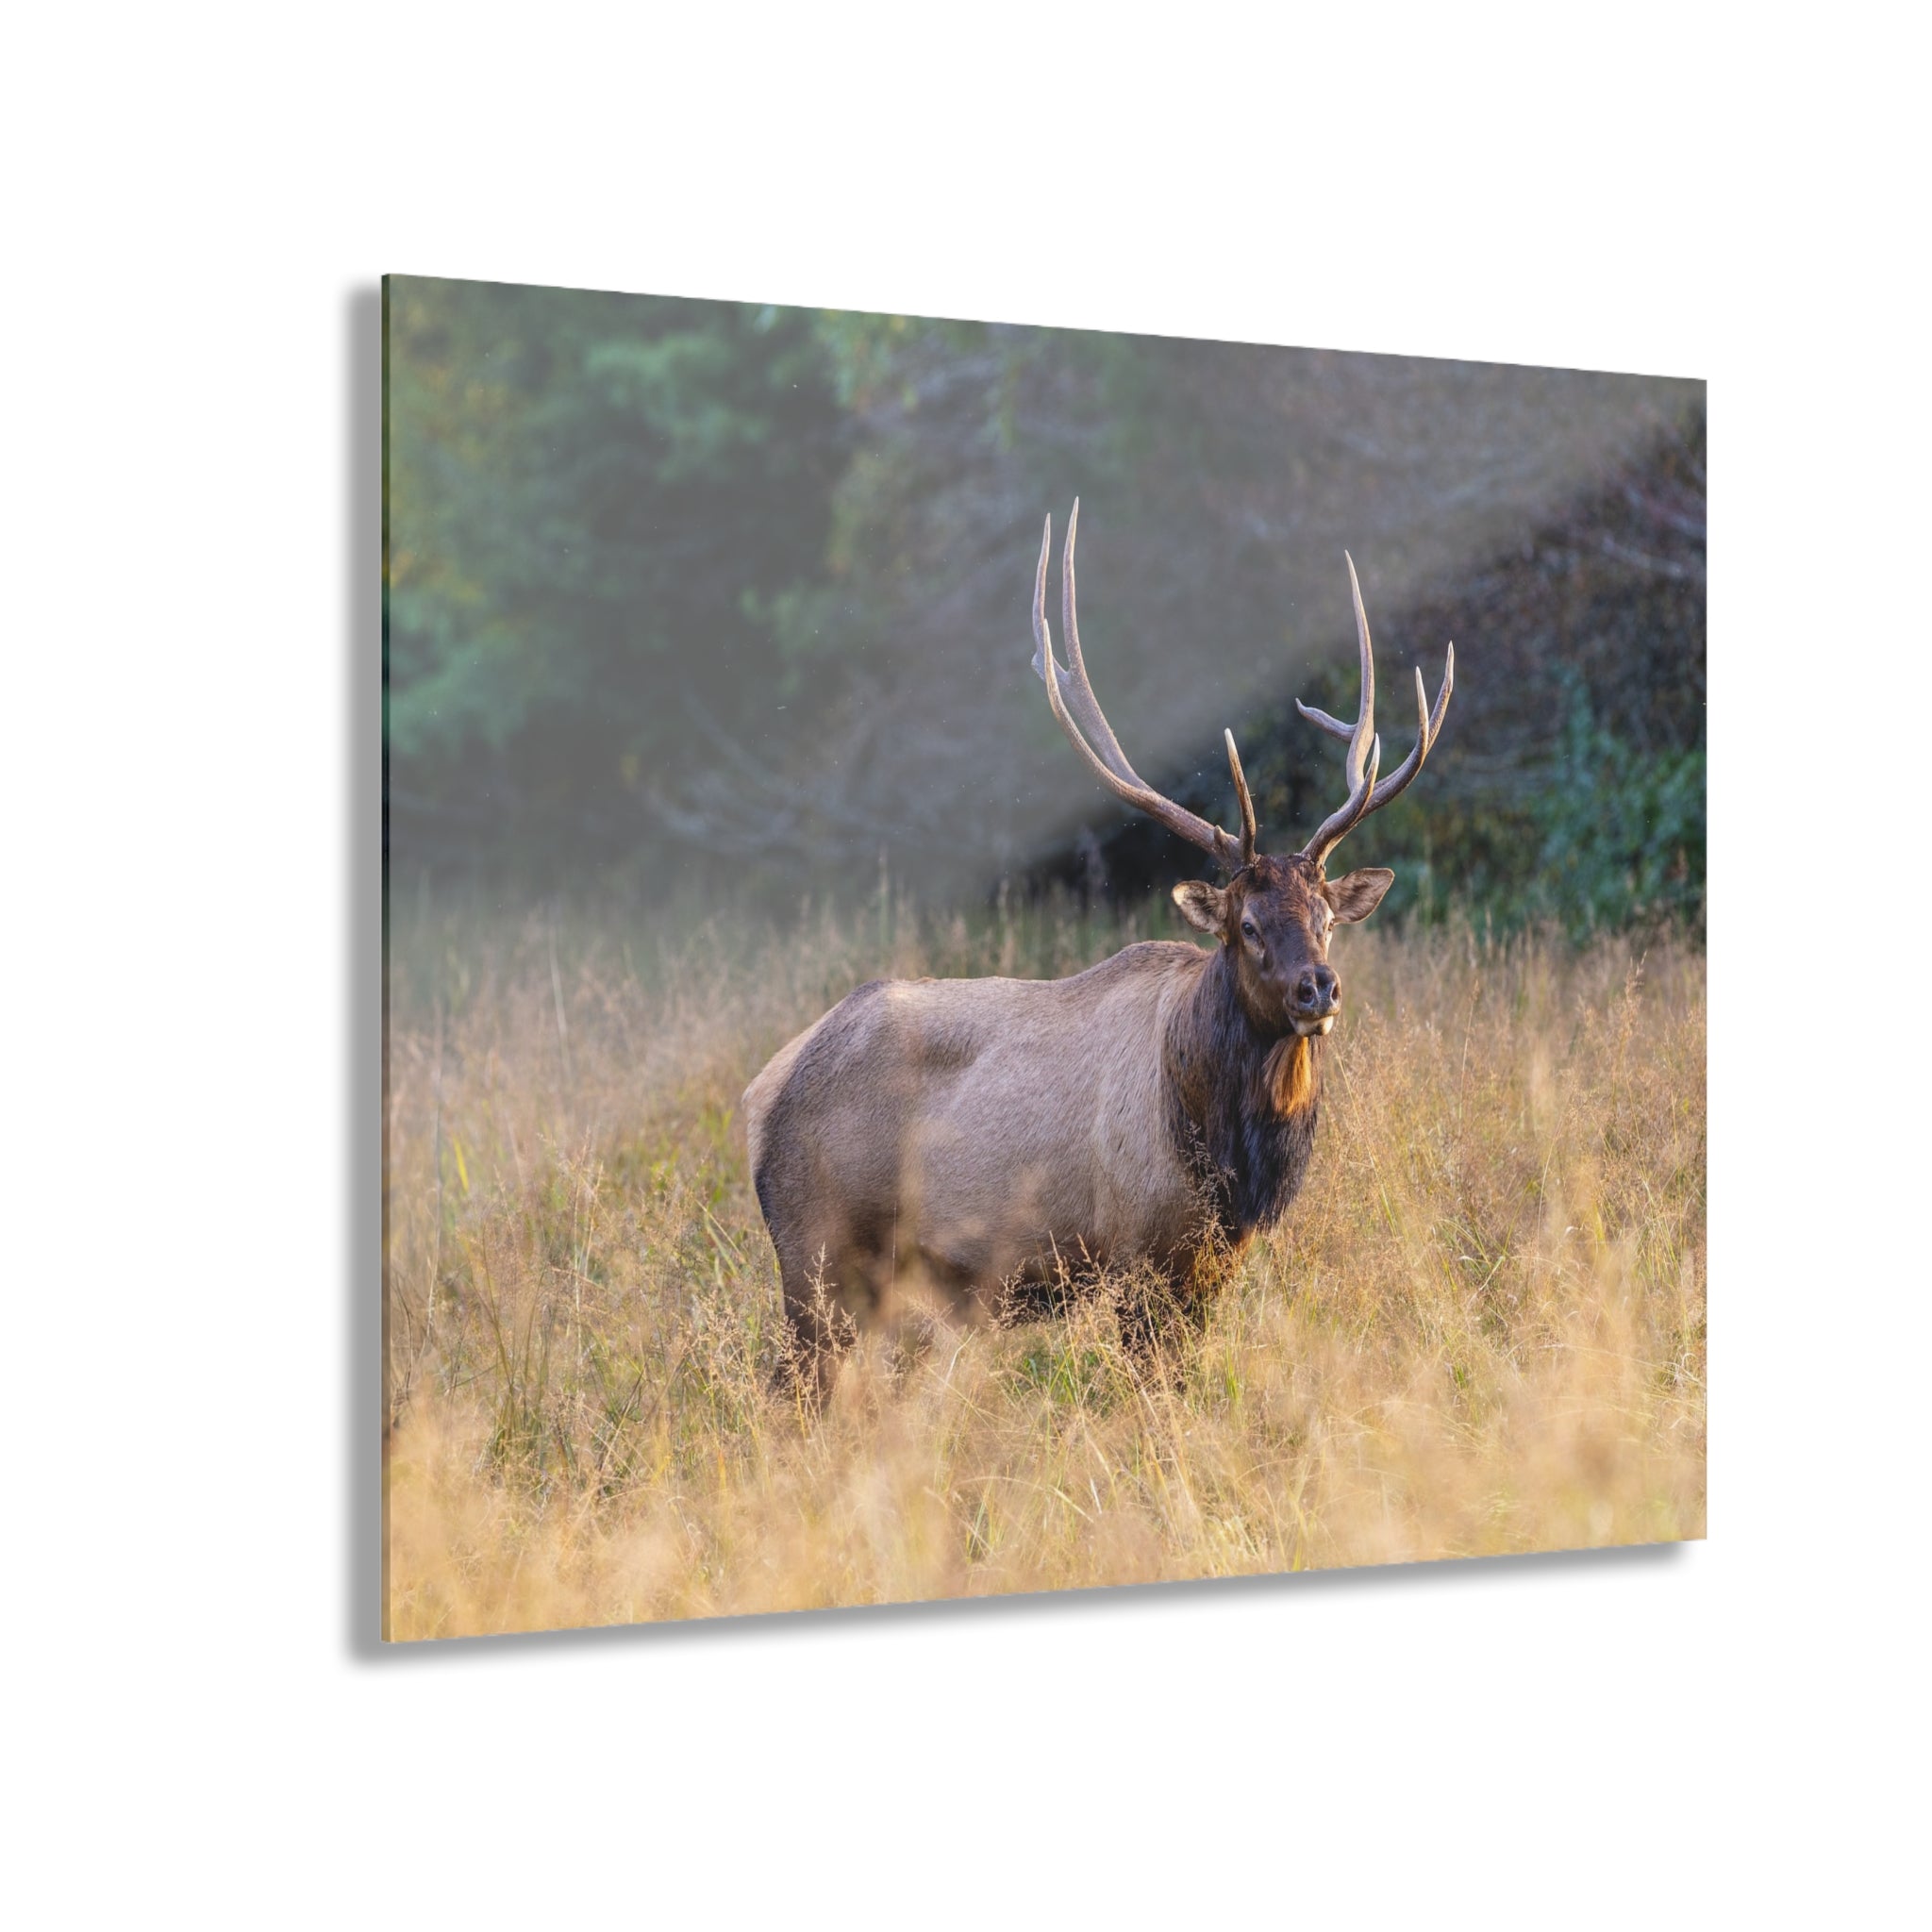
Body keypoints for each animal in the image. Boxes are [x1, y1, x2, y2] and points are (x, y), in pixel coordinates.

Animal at [743, 503, 1453, 1398]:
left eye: (1326, 916)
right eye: (1247, 925)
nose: (1317, 989)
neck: (1228, 1156)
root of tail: (758, 1097)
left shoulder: (1211, 1266)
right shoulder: (1139, 1252)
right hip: (818, 1254)